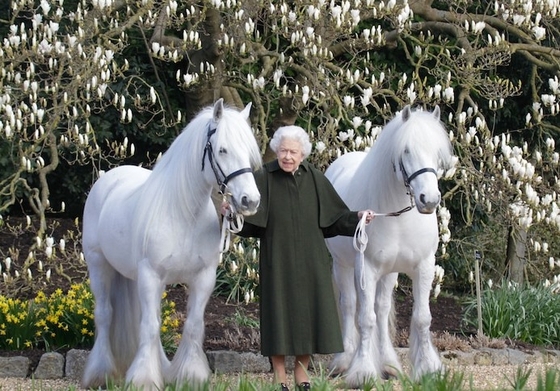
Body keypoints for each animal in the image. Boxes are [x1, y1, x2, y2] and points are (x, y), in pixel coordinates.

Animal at [80, 99, 262, 390]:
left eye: (248, 152)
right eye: (222, 149)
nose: (250, 200)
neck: (183, 214)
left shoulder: (203, 278)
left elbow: (193, 325)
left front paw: (191, 375)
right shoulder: (151, 276)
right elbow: (150, 327)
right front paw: (143, 379)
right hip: (99, 266)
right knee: (105, 314)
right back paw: (100, 373)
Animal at [326, 105, 452, 388]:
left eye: (437, 152)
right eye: (406, 150)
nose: (429, 200)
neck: (398, 216)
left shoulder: (424, 266)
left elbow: (421, 318)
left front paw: (427, 369)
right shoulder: (367, 268)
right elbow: (365, 319)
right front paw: (362, 372)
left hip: (389, 272)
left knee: (382, 310)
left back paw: (388, 364)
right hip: (343, 266)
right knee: (349, 305)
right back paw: (344, 361)